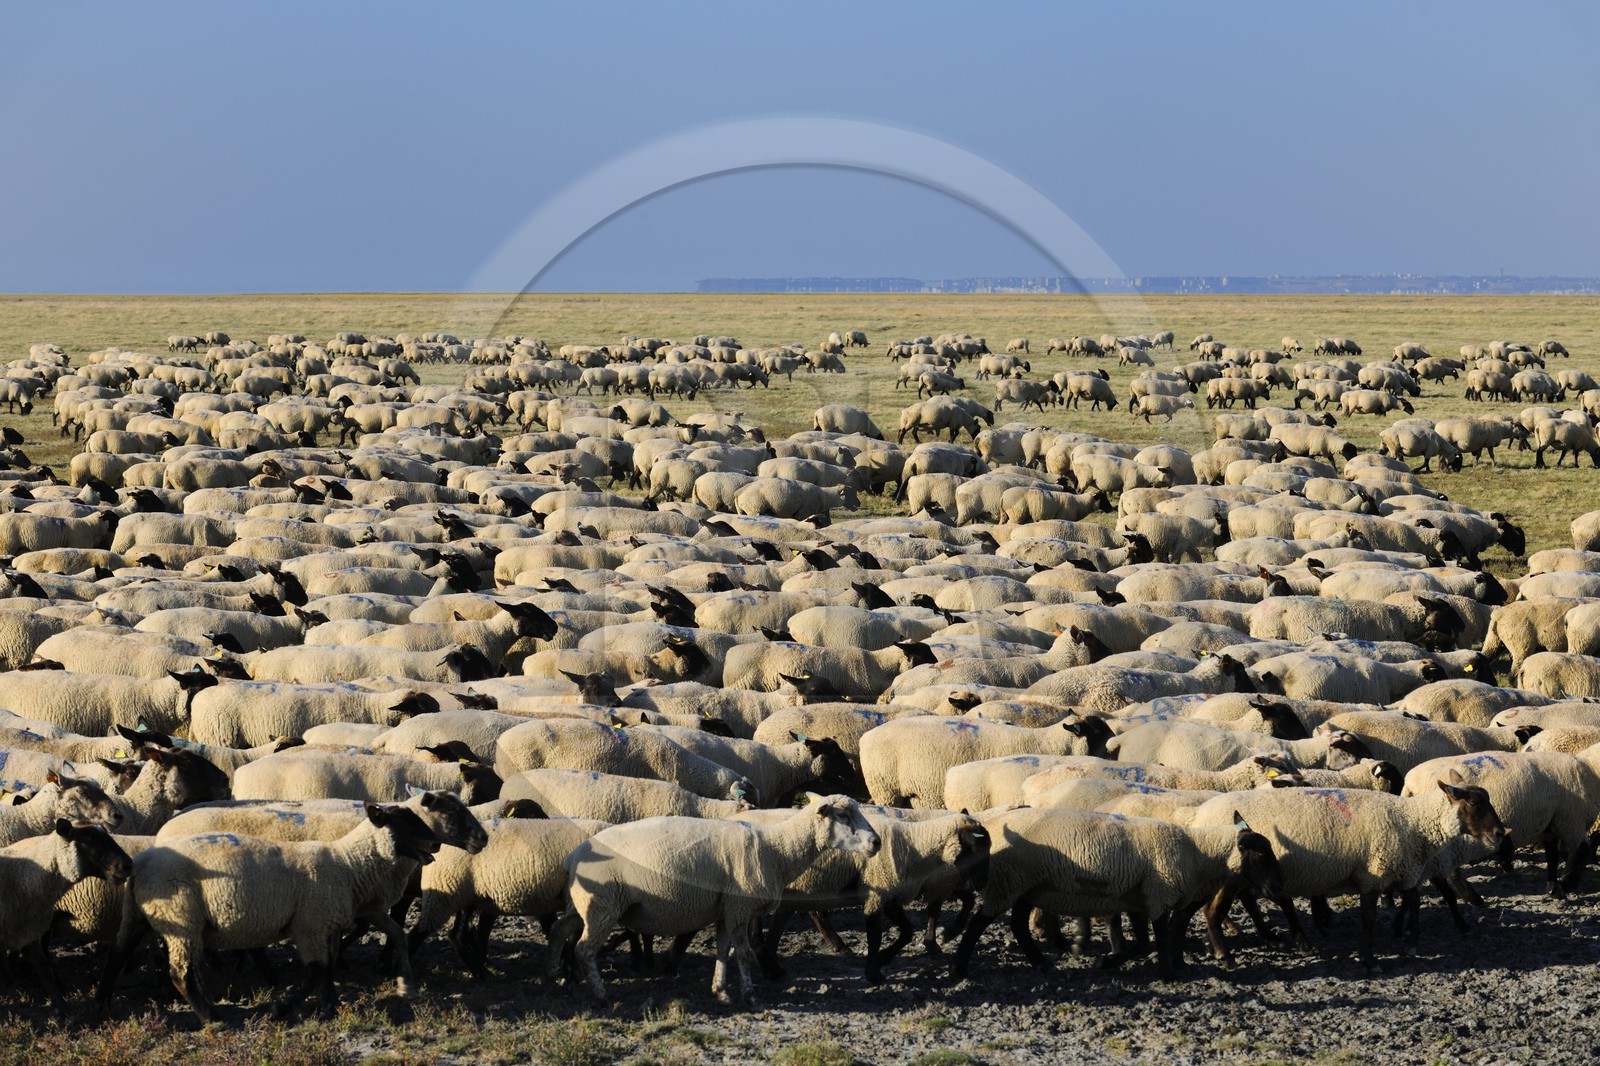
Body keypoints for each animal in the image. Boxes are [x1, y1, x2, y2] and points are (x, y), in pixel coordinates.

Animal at [547, 794, 880, 1005]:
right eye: (843, 815)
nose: (876, 842)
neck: (776, 850)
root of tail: (573, 857)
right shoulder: (740, 909)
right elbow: (742, 954)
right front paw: (749, 995)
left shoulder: (725, 910)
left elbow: (723, 952)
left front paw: (721, 992)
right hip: (602, 907)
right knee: (585, 950)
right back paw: (601, 996)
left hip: (584, 906)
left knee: (560, 931)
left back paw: (556, 975)